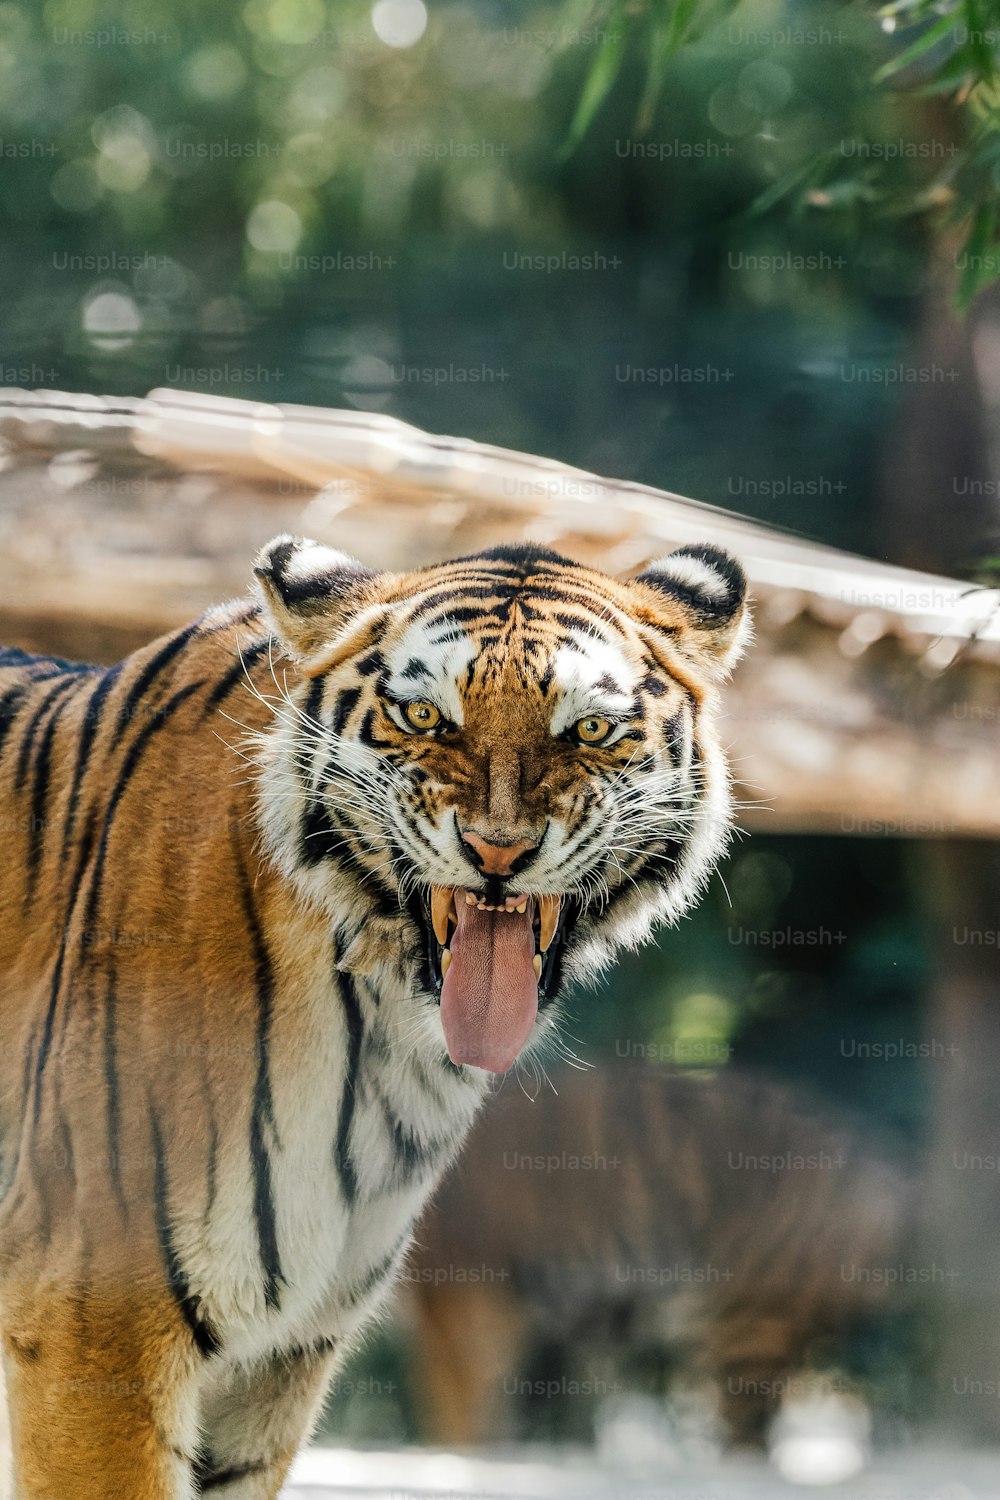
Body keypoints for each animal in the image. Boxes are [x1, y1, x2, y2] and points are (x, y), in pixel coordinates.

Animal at [0, 540, 746, 1500]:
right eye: (424, 716)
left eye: (587, 730)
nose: (498, 849)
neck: (386, 1026)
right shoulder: (95, 1309)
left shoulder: (280, 1352)